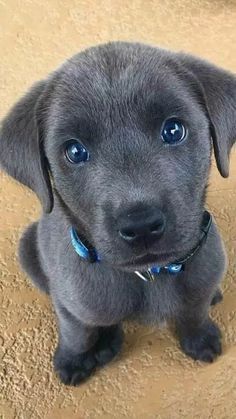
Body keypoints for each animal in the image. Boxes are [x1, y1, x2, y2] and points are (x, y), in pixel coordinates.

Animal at [0, 42, 236, 388]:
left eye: (173, 130)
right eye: (74, 151)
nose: (141, 226)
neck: (149, 275)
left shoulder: (200, 278)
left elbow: (194, 311)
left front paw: (200, 338)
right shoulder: (71, 301)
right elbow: (78, 332)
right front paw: (73, 359)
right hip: (28, 249)